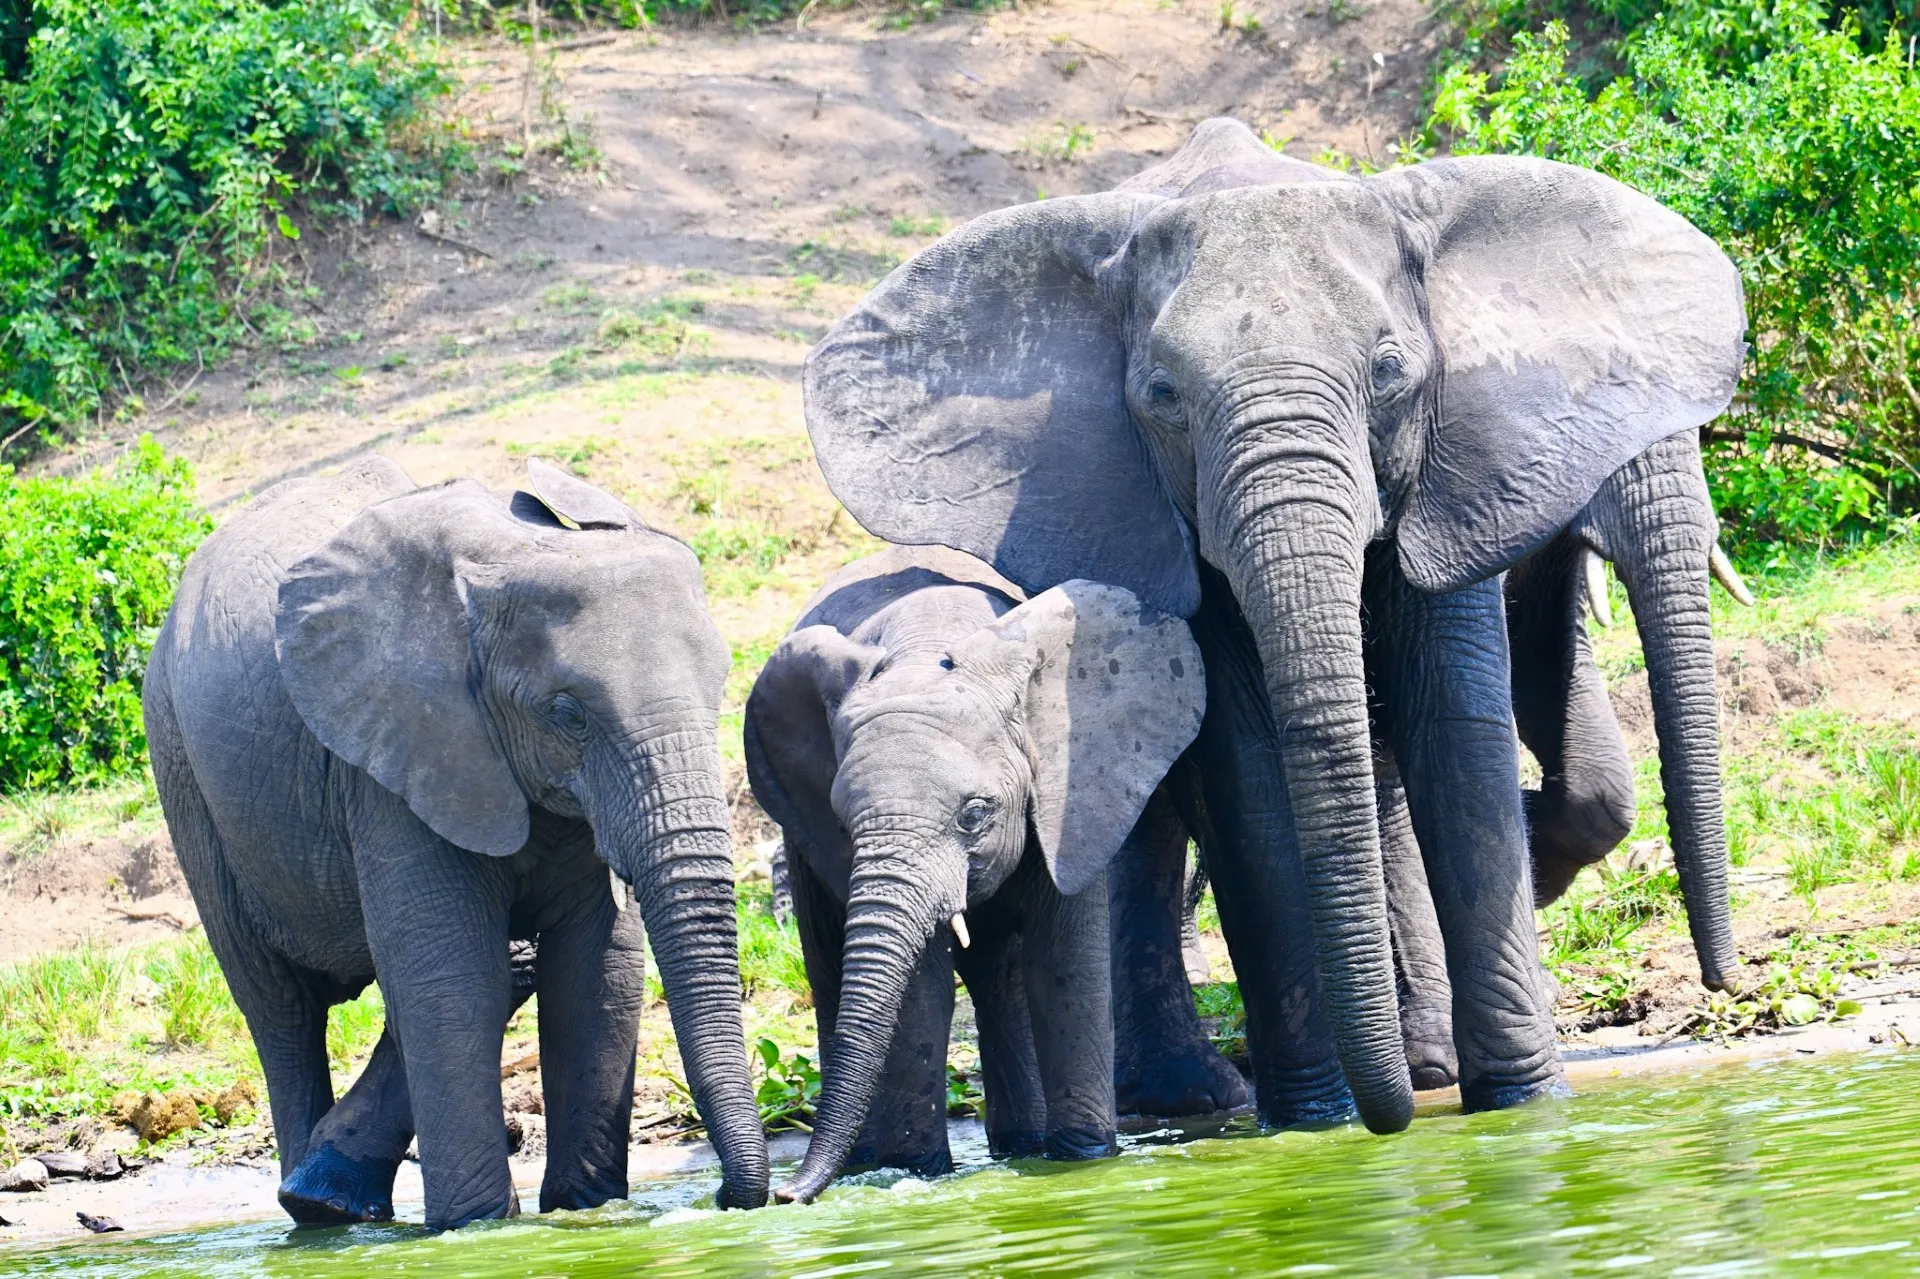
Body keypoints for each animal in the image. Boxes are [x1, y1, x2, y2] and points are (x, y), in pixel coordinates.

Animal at [142, 455, 769, 1230]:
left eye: (720, 688)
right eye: (567, 713)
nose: (728, 1196)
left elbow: (599, 971)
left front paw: (586, 1215)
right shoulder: (398, 748)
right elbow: (453, 975)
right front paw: (477, 1228)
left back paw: (326, 1193)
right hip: (184, 773)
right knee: (280, 1007)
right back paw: (313, 1210)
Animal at [743, 546, 1205, 1202]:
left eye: (976, 813)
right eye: (844, 823)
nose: (783, 1195)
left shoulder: (1070, 791)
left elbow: (1063, 960)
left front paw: (1084, 1163)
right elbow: (920, 985)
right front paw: (917, 1172)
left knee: (1001, 974)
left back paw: (1023, 1148)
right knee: (835, 970)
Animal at [799, 116, 1747, 1132]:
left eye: (1389, 373)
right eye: (1163, 396)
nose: (1723, 985)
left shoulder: (1458, 476)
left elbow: (1455, 732)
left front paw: (1520, 1101)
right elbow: (1246, 767)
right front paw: (1315, 1121)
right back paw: (1190, 1090)